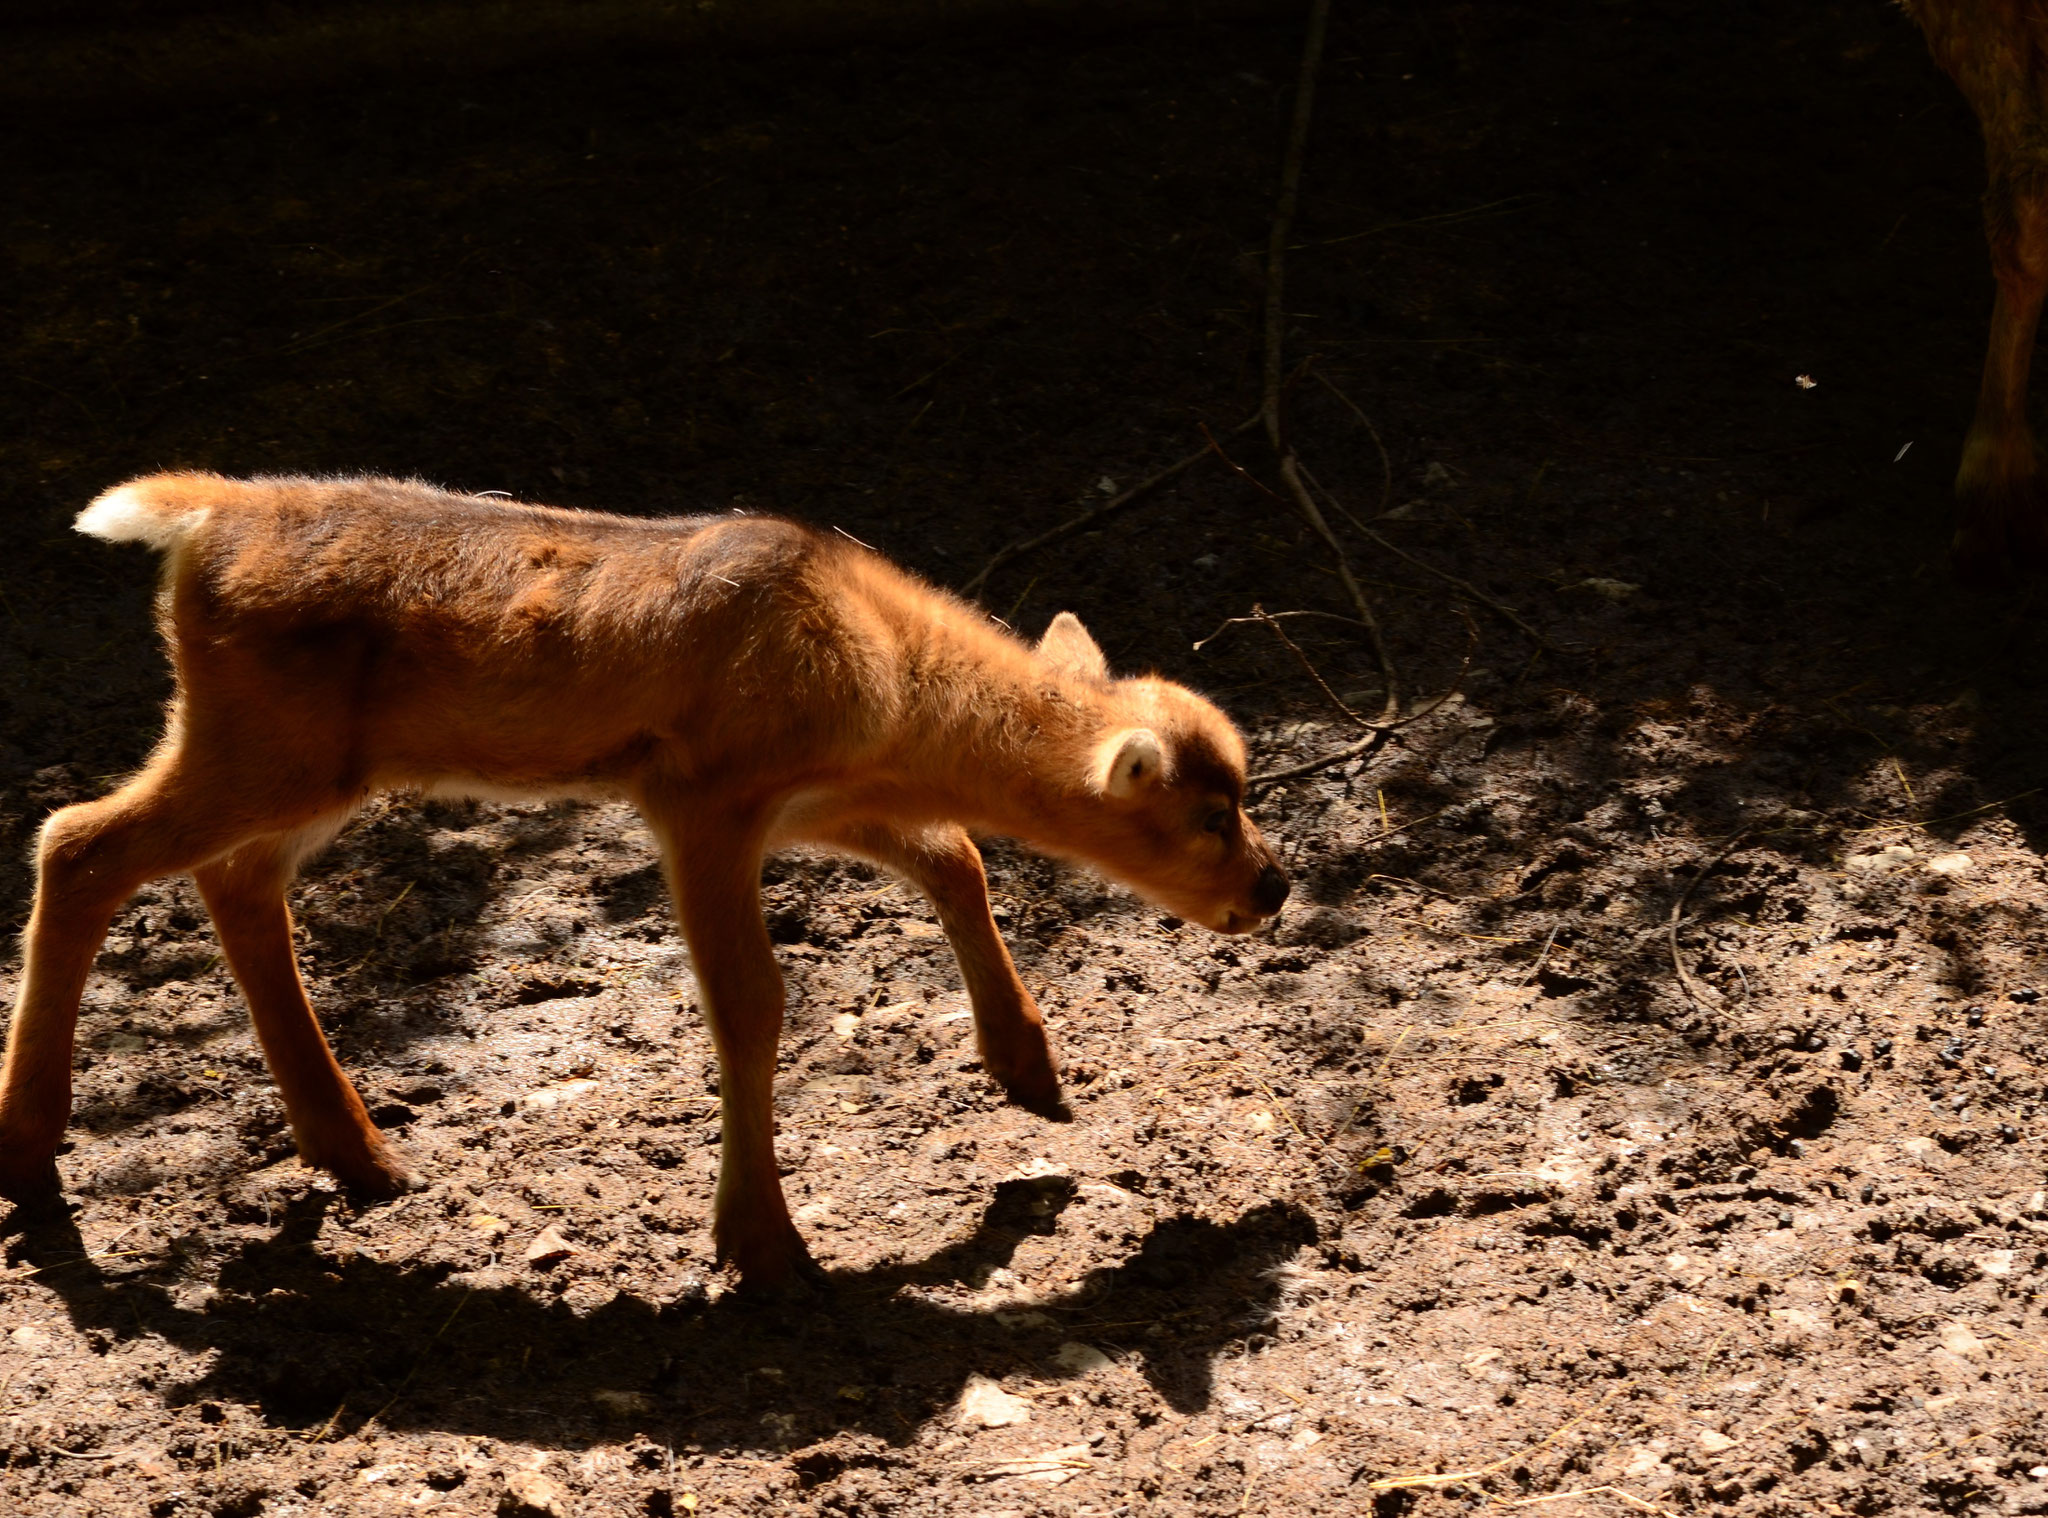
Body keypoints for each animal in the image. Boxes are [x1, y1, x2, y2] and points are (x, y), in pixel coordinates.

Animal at [0, 473, 1277, 1278]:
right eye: (1206, 813)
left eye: (1245, 787)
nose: (1270, 888)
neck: (878, 675)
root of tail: (201, 515)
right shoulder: (702, 796)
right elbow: (751, 1002)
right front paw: (763, 1248)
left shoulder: (826, 799)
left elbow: (952, 852)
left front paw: (1030, 1070)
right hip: (258, 747)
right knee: (80, 841)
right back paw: (30, 1149)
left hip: (293, 764)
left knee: (229, 880)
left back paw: (358, 1153)